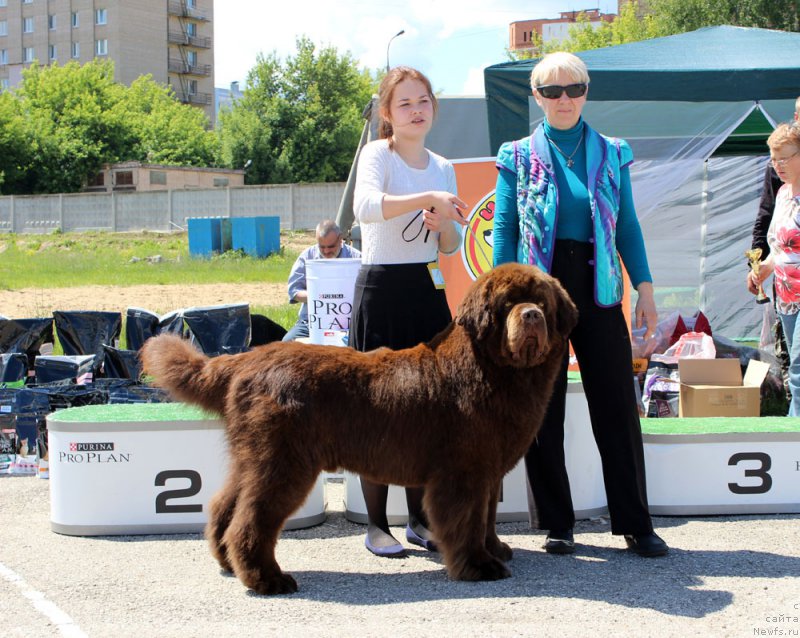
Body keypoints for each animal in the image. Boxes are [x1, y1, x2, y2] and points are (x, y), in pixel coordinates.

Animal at [142, 262, 576, 596]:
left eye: (541, 301)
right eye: (507, 305)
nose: (531, 316)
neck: (491, 370)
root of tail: (245, 360)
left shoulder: (488, 469)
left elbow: (486, 516)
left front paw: (495, 549)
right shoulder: (463, 472)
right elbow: (466, 520)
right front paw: (478, 567)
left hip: (252, 458)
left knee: (224, 505)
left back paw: (229, 564)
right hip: (284, 462)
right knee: (251, 519)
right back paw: (268, 579)